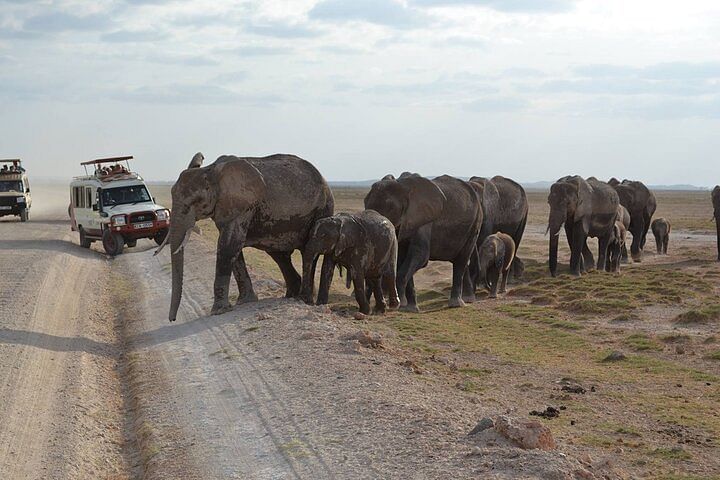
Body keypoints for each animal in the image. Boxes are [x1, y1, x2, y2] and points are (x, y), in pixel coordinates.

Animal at [159, 152, 334, 320]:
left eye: (196, 201)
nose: (172, 319)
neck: (210, 170)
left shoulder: (241, 206)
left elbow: (228, 246)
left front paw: (218, 311)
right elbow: (234, 250)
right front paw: (245, 302)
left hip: (322, 210)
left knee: (307, 253)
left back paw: (304, 299)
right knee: (280, 255)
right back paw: (291, 295)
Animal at [366, 172, 484, 312]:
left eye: (390, 208)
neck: (402, 186)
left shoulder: (423, 220)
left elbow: (420, 256)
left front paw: (401, 305)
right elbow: (402, 257)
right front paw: (410, 309)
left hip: (475, 224)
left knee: (461, 260)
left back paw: (457, 303)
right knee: (461, 260)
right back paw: (467, 299)